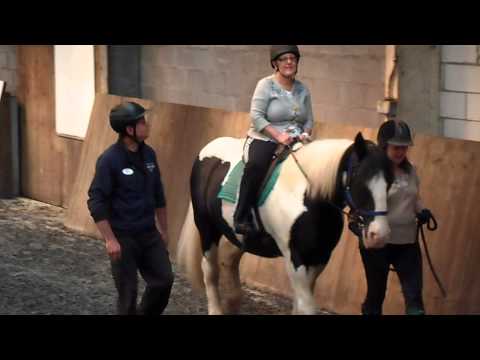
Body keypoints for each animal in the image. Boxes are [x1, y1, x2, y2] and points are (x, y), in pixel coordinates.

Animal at [176, 133, 394, 316]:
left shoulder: (319, 258)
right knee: (210, 269)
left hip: (240, 236)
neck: (309, 198)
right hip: (206, 226)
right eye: (359, 177)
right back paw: (217, 309)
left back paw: (233, 301)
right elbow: (306, 307)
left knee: (228, 260)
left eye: (390, 182)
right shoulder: (295, 257)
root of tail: (209, 147)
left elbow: (300, 304)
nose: (379, 235)